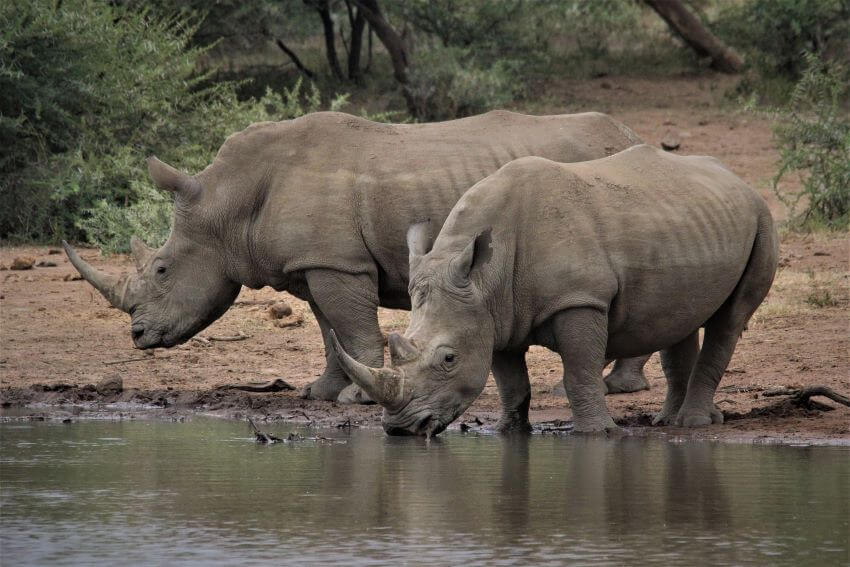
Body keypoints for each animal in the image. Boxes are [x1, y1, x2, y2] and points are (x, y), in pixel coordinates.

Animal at [64, 108, 648, 410]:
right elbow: (329, 330)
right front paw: (321, 392)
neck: (229, 201)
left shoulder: (336, 262)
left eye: (162, 270)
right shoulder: (315, 262)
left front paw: (356, 400)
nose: (138, 336)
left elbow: (350, 325)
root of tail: (629, 133)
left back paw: (605, 388)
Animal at [330, 143, 776, 434]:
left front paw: (597, 434)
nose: (400, 429)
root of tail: (738, 180)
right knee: (679, 319)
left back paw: (693, 424)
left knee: (730, 319)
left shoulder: (579, 300)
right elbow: (510, 381)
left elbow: (579, 371)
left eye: (448, 359)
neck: (484, 277)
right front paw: (510, 432)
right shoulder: (493, 313)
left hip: (761, 217)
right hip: (692, 220)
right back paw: (670, 422)